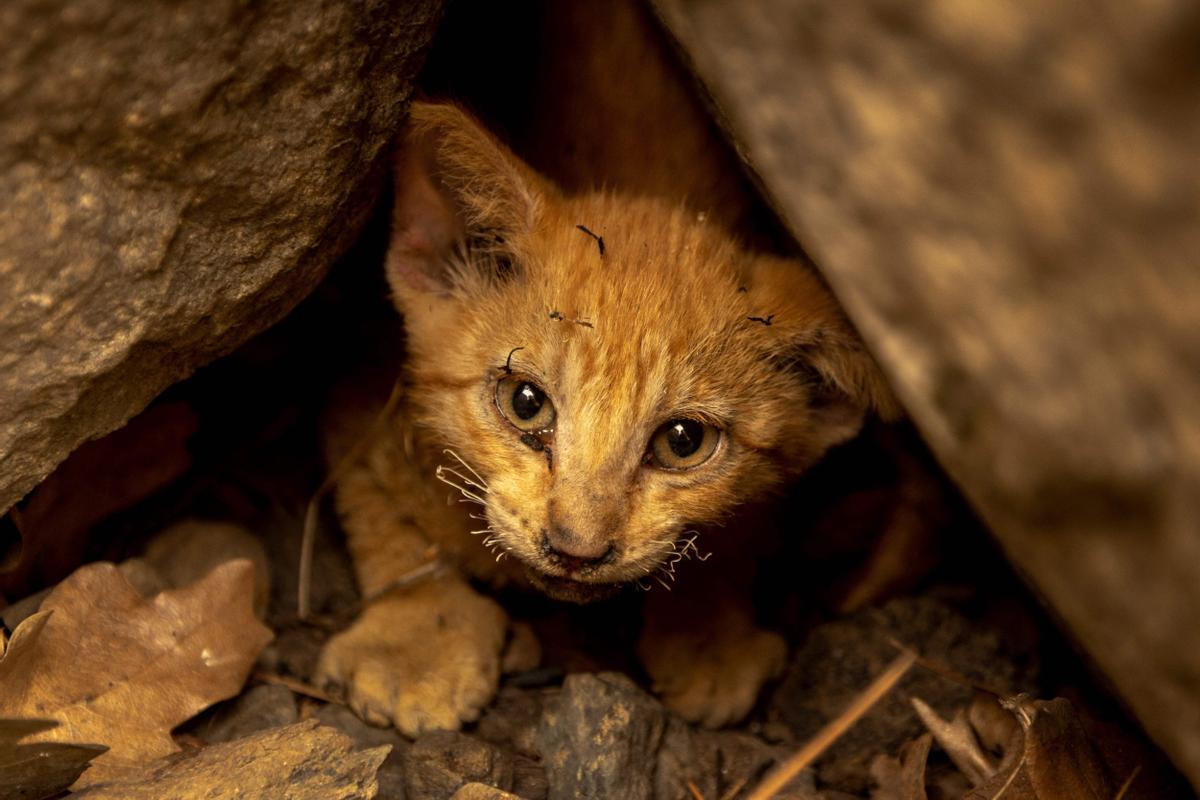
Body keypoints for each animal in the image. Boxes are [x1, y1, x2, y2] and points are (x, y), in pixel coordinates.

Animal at [314, 101, 897, 738]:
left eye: (684, 441)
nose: (577, 550)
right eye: (526, 402)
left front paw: (708, 634)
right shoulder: (358, 394)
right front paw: (417, 643)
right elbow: (383, 519)